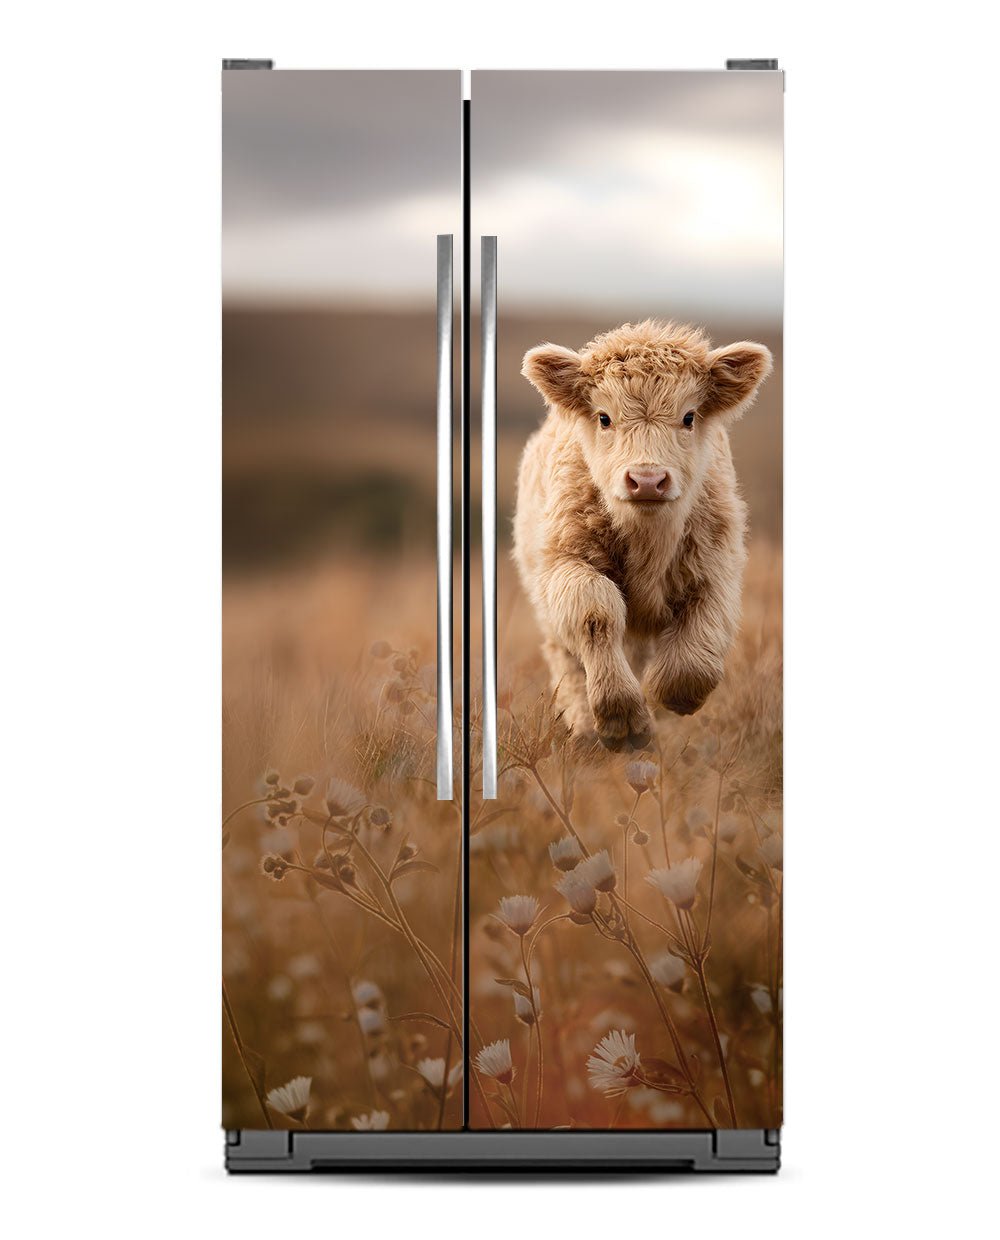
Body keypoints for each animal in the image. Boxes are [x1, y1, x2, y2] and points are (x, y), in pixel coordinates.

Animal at [513, 319, 772, 751]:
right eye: (604, 417)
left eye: (689, 416)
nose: (647, 480)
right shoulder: (565, 563)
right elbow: (595, 612)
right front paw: (624, 719)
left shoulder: (716, 569)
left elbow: (695, 655)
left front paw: (665, 695)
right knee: (569, 662)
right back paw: (586, 729)